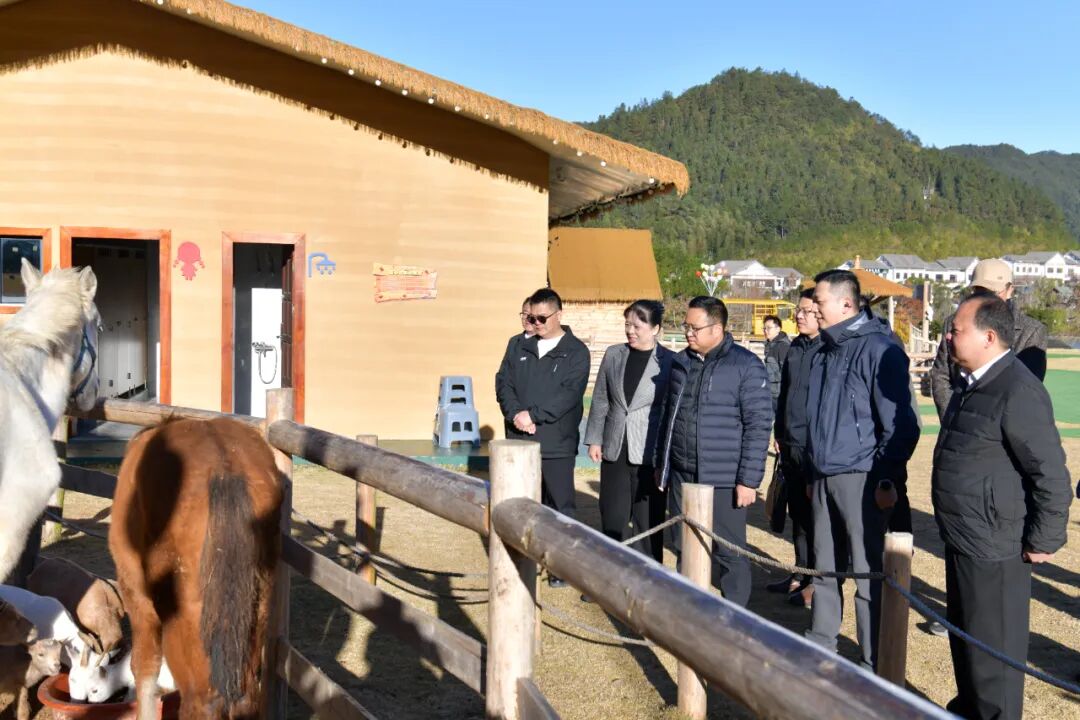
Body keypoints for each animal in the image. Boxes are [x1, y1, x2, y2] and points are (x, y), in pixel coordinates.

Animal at [109, 417, 283, 720]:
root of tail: (225, 468)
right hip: (254, 615)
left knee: (198, 700)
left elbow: (144, 667)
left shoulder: (136, 596)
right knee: (245, 699)